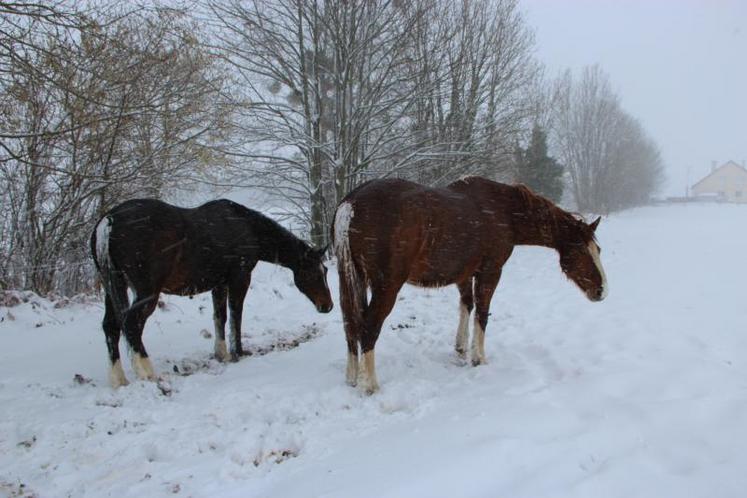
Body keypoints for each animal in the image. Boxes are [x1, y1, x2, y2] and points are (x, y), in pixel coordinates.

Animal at [90, 199, 334, 390]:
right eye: (313, 272)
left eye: (325, 270)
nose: (328, 306)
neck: (245, 226)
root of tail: (109, 221)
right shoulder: (239, 279)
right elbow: (236, 315)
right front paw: (238, 352)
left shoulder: (219, 285)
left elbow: (220, 317)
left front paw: (221, 353)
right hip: (147, 292)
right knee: (131, 324)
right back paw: (147, 373)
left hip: (113, 288)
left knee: (111, 326)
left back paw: (118, 379)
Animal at [334, 178, 608, 392]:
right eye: (580, 251)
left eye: (598, 250)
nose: (602, 291)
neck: (504, 211)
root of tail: (351, 205)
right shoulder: (490, 272)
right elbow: (482, 313)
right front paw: (479, 358)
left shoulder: (464, 274)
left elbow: (467, 305)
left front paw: (461, 348)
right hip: (386, 286)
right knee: (368, 327)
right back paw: (370, 385)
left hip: (351, 279)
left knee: (350, 325)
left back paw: (352, 378)